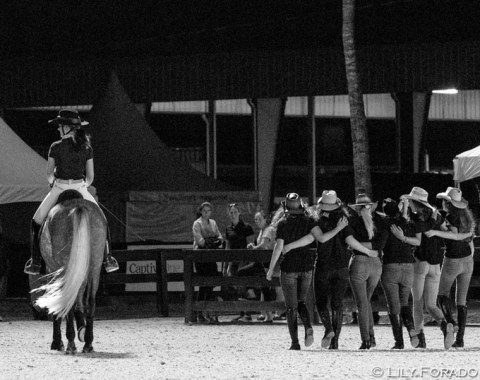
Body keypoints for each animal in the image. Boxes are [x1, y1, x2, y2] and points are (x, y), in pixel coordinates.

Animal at [31, 191, 107, 354]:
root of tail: (78, 206)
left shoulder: (52, 270)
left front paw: (57, 342)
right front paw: (81, 329)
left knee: (69, 301)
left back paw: (70, 343)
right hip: (95, 265)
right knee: (90, 301)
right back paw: (88, 343)